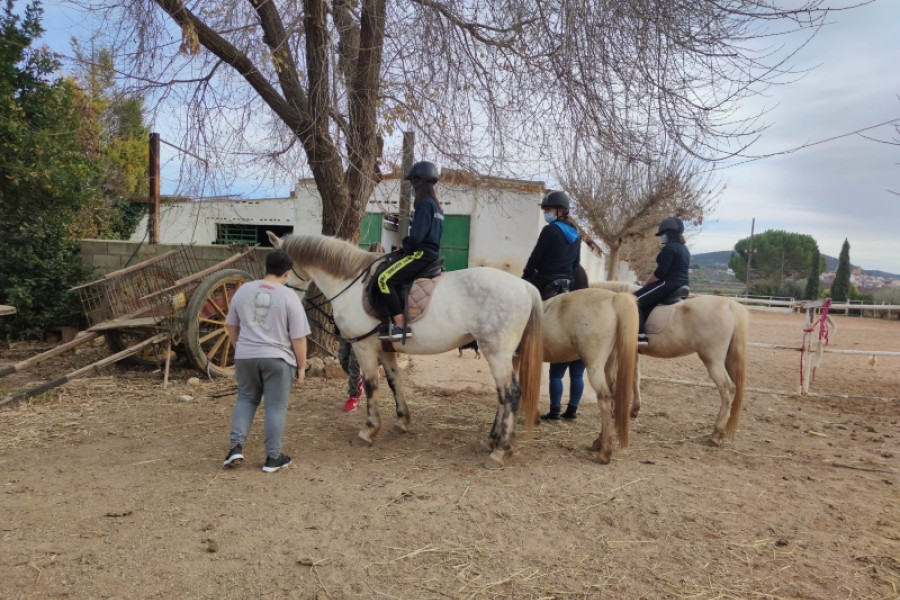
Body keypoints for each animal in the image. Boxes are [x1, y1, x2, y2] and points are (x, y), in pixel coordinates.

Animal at [268, 232, 540, 466]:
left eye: (281, 266)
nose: (280, 294)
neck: (351, 284)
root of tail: (524, 286)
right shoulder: (385, 348)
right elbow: (394, 381)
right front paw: (402, 421)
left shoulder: (364, 346)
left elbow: (371, 385)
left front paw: (368, 430)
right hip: (505, 356)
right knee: (502, 396)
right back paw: (490, 441)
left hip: (496, 353)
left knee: (511, 394)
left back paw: (501, 451)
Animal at [596, 282, 748, 446]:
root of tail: (730, 305)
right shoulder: (633, 352)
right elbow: (635, 377)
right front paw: (635, 410)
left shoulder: (616, 351)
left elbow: (613, 378)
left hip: (713, 360)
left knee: (728, 388)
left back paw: (716, 434)